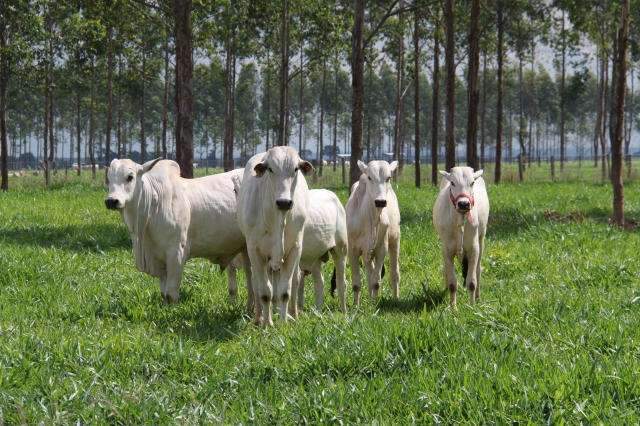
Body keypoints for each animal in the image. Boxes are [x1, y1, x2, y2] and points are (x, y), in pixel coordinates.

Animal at [105, 159, 252, 306]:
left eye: (130, 177)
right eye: (109, 178)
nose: (111, 201)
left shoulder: (176, 254)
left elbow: (171, 294)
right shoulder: (160, 260)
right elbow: (163, 293)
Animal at [236, 146, 314, 326]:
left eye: (295, 169)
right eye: (270, 169)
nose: (284, 202)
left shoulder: (294, 250)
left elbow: (284, 291)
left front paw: (283, 323)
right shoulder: (255, 252)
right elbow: (265, 292)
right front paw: (267, 323)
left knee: (293, 281)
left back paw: (292, 314)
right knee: (257, 285)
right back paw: (259, 317)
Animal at [436, 165, 490, 308]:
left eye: (472, 183)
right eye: (452, 183)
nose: (464, 204)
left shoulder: (473, 249)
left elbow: (471, 282)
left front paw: (472, 306)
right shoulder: (447, 250)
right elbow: (452, 283)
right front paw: (453, 307)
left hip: (481, 238)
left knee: (478, 270)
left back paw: (478, 296)